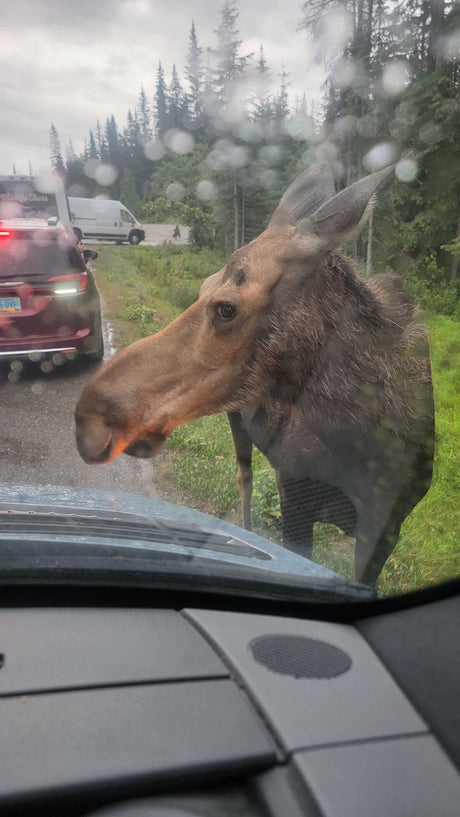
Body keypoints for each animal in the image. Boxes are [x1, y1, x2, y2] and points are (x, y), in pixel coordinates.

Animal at [75, 163, 434, 587]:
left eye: (226, 308)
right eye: (203, 286)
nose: (89, 415)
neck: (367, 449)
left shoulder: (389, 526)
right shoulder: (293, 491)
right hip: (236, 418)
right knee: (243, 476)